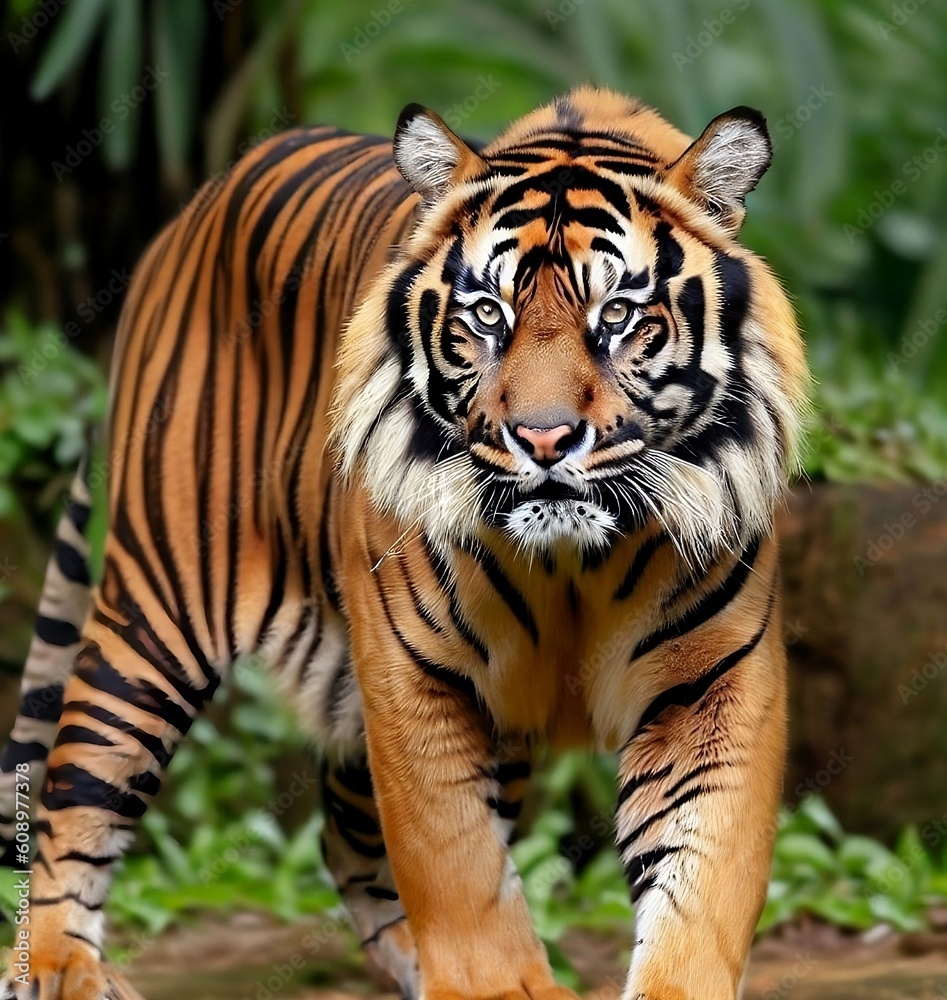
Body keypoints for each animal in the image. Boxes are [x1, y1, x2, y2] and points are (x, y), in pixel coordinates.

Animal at [0, 85, 808, 1000]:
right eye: (488, 314)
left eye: (617, 317)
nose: (542, 438)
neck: (572, 564)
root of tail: (189, 214)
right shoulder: (415, 675)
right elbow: (458, 870)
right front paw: (496, 982)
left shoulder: (713, 686)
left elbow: (698, 884)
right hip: (159, 607)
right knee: (75, 785)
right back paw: (59, 966)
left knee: (341, 832)